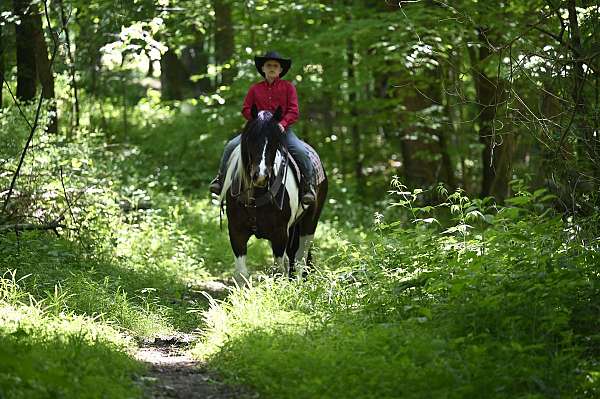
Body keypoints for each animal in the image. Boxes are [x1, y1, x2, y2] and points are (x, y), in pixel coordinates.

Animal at [220, 104, 328, 282]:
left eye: (275, 142)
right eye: (251, 139)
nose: (261, 176)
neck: (255, 197)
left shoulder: (280, 234)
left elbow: (279, 271)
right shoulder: (237, 232)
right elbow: (242, 274)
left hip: (309, 224)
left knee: (300, 258)